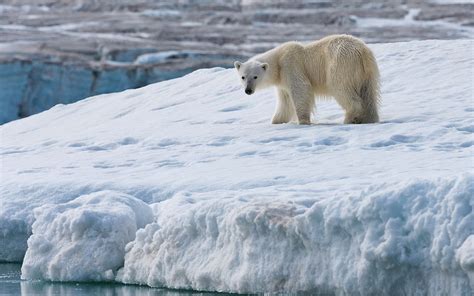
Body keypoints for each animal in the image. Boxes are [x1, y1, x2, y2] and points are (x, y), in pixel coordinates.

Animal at [234, 35, 382, 125]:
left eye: (255, 76)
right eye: (243, 77)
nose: (248, 90)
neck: (277, 62)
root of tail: (362, 51)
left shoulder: (291, 65)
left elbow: (301, 89)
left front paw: (303, 121)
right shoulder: (282, 83)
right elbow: (285, 101)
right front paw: (277, 121)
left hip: (341, 65)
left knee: (342, 89)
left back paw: (349, 119)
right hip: (368, 72)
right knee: (369, 94)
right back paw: (370, 118)